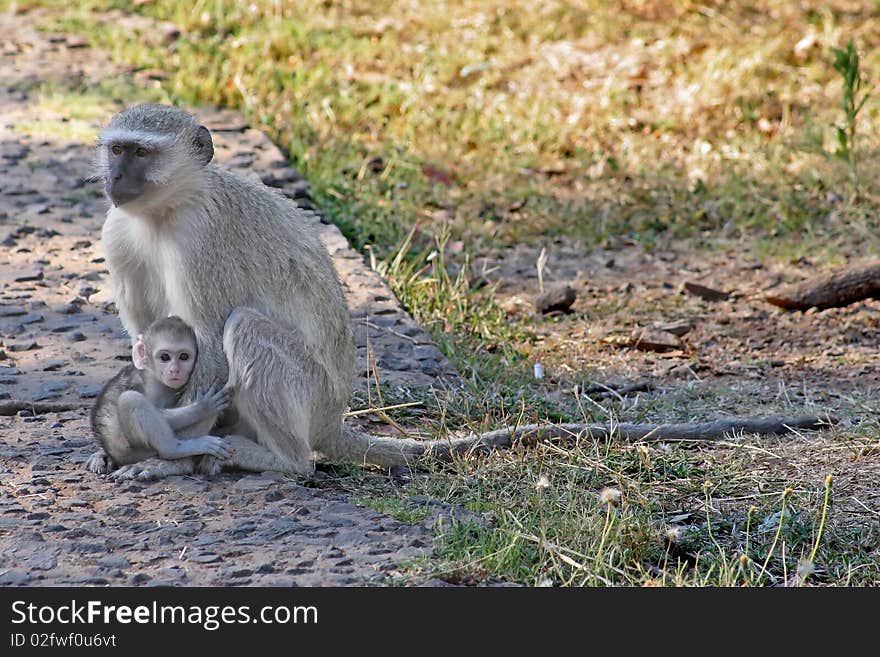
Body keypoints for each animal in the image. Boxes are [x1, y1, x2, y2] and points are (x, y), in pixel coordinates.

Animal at [88, 312, 234, 472]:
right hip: (131, 450)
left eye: (184, 356)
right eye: (165, 357)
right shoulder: (153, 386)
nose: (174, 370)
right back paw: (174, 448)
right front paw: (202, 407)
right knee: (130, 399)